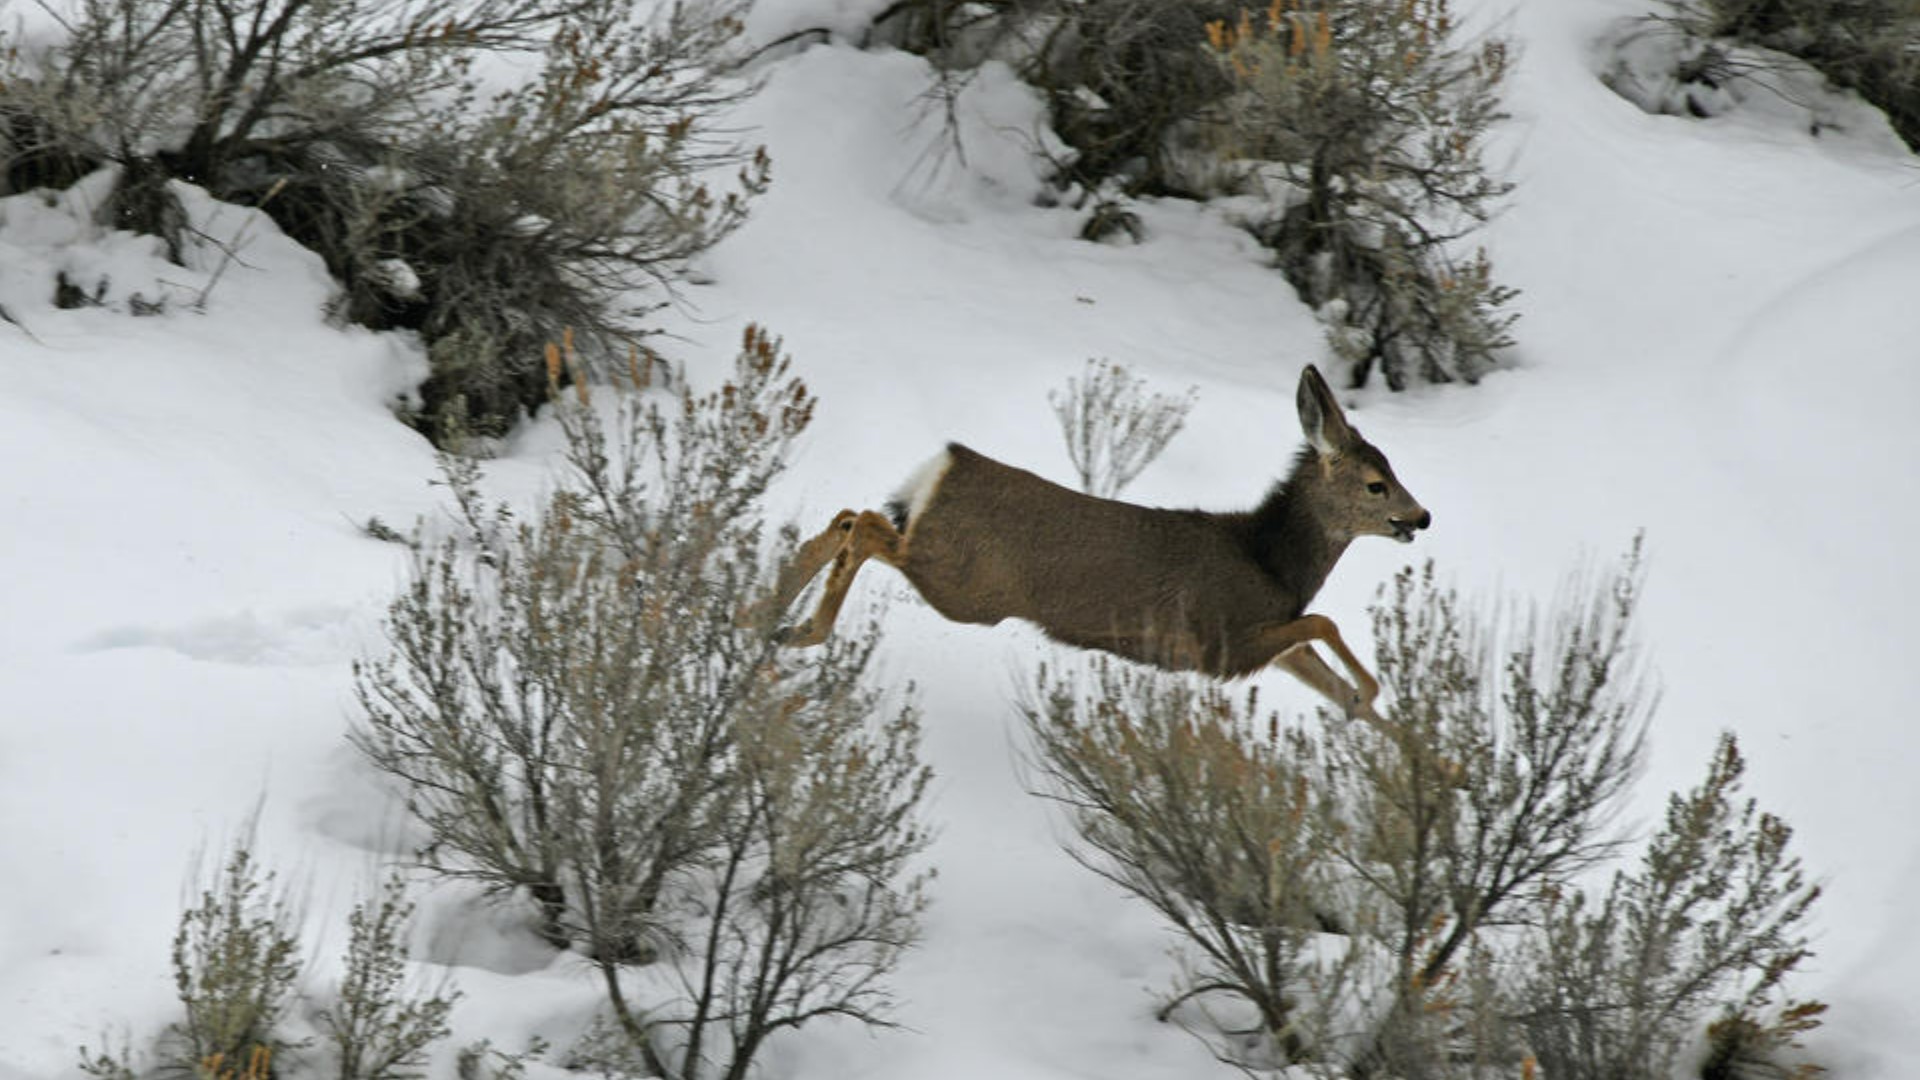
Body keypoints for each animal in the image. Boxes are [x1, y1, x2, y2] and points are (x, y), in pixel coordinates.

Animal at [760, 361, 1428, 714]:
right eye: (1376, 484)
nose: (1421, 517)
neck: (1269, 562)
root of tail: (943, 465)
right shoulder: (1221, 642)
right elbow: (1324, 623)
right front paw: (1368, 694)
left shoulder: (1257, 643)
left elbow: (1318, 659)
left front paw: (1383, 728)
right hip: (965, 584)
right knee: (868, 528)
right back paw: (800, 630)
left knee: (848, 516)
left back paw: (761, 617)